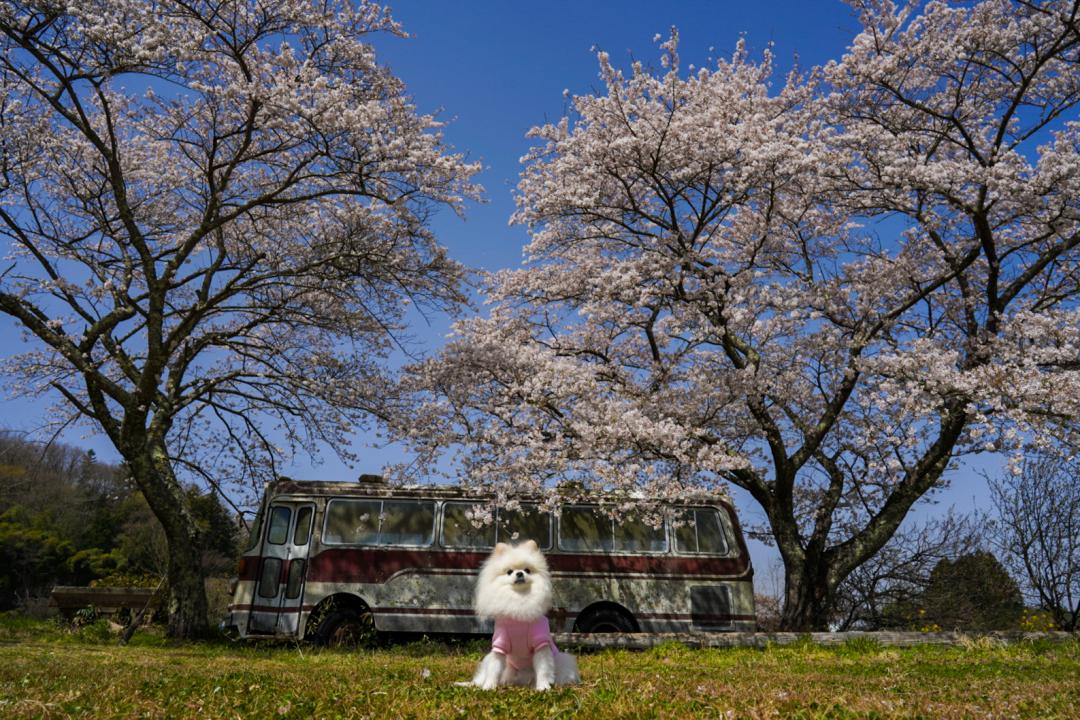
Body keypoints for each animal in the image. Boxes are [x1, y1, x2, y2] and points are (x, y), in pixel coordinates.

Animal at [468, 539, 578, 690]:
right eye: (509, 572)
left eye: (527, 570)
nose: (519, 573)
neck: (519, 600)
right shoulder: (500, 645)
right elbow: (494, 668)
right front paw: (489, 686)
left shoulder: (540, 644)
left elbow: (543, 668)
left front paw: (543, 687)